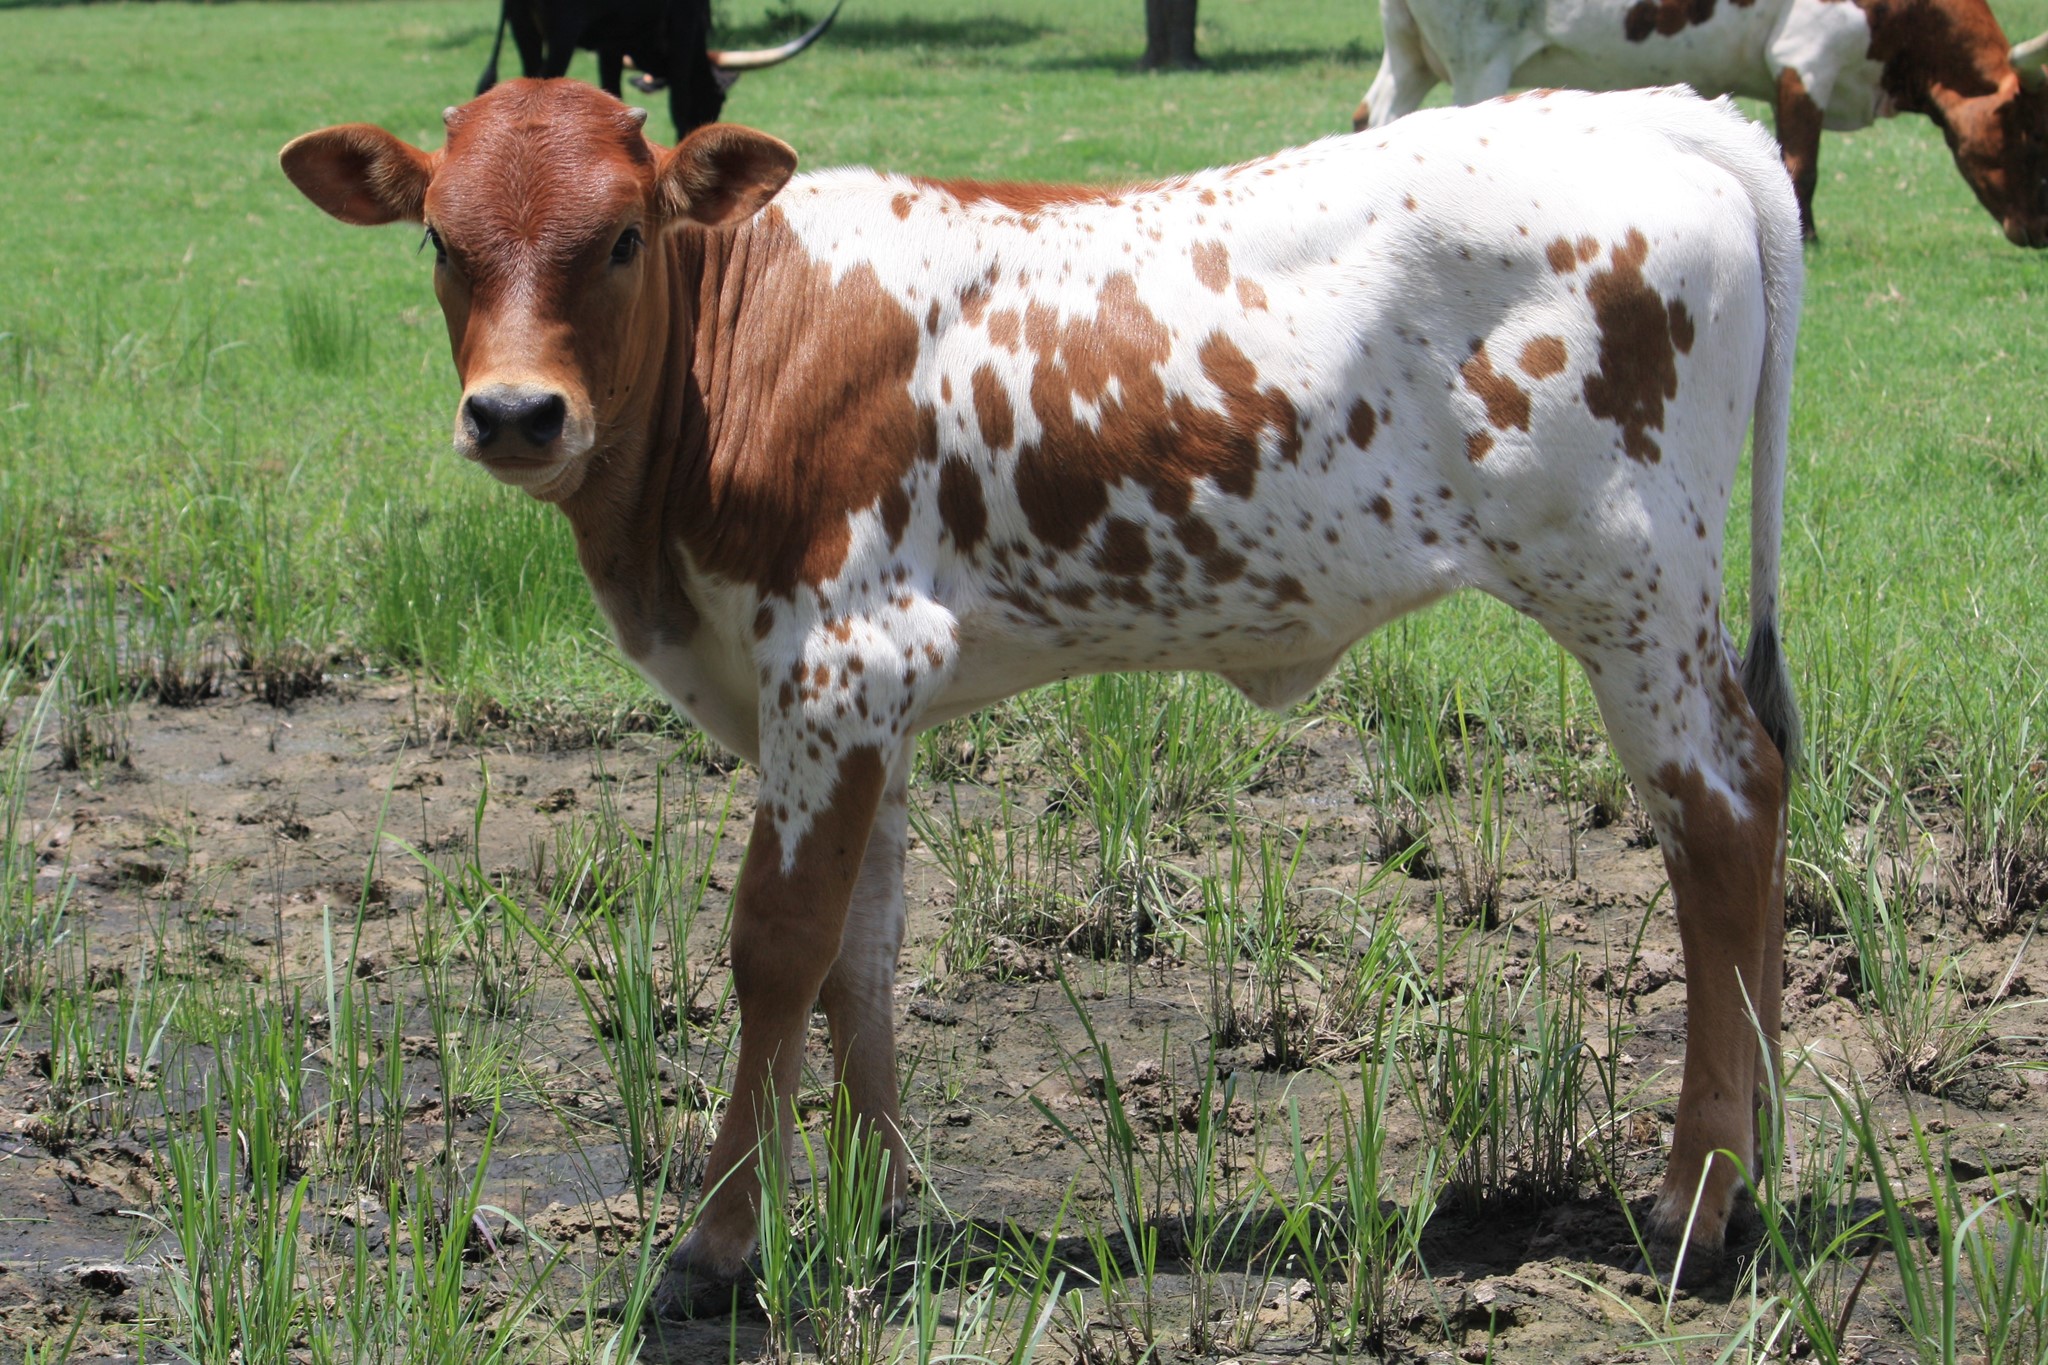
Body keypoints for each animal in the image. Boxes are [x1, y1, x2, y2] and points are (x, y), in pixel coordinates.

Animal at [280, 79, 1802, 1314]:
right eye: (440, 240)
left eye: (620, 238)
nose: (515, 415)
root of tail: (1663, 115)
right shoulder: (861, 705)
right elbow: (861, 948)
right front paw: (873, 1205)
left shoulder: (842, 658)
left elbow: (775, 945)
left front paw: (716, 1246)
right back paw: (1755, 1171)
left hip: (1629, 590)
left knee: (1721, 816)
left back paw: (1694, 1198)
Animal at [475, 0, 841, 138]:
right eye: (717, 100)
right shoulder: (684, 26)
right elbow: (678, 105)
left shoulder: (612, 43)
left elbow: (614, 96)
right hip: (561, 32)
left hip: (525, 28)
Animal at [1353, 0, 2048, 245]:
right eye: (2033, 137)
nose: (2040, 232)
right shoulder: (1806, 57)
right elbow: (1801, 164)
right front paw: (1809, 238)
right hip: (1479, 59)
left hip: (1408, 53)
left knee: (1373, 117)